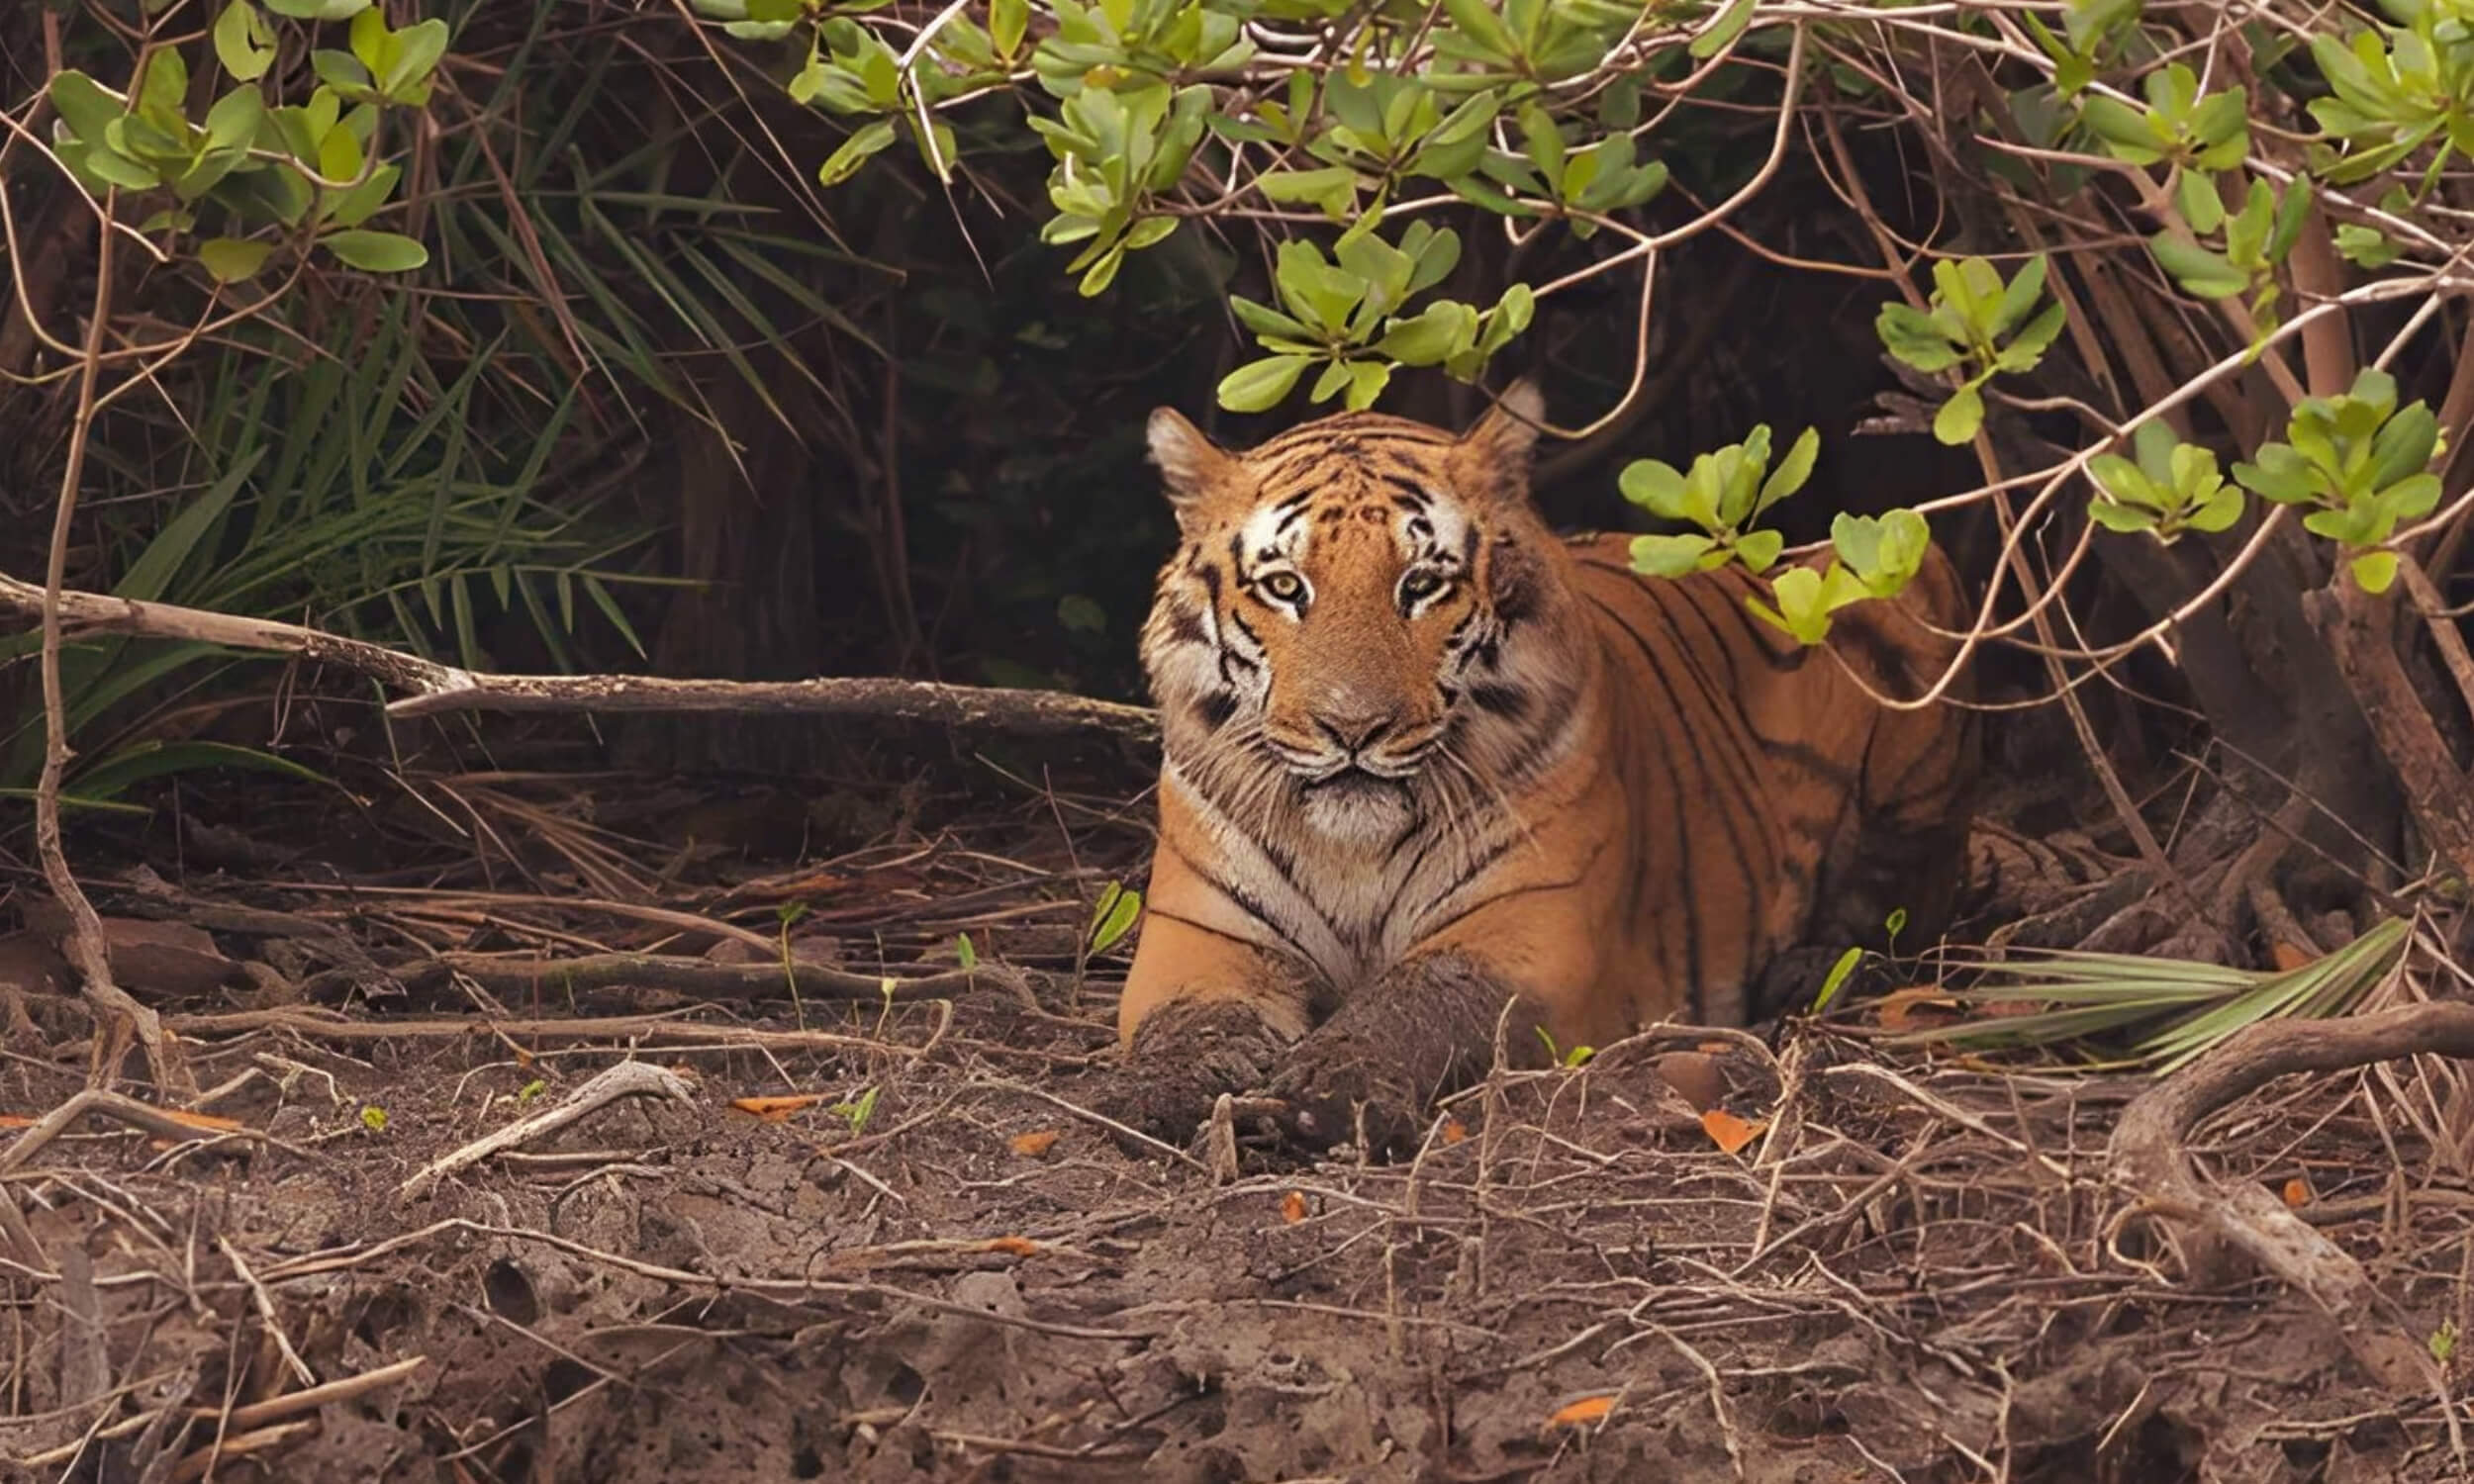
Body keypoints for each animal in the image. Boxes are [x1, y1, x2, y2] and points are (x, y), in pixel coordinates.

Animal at [1108, 381, 1979, 1150]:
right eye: (1286, 585)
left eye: (1422, 584)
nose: (1352, 727)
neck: (1351, 849)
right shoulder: (1198, 936)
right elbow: (1186, 1021)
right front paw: (1156, 1095)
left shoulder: (1532, 929)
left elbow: (1422, 999)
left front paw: (1324, 1095)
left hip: (1909, 593)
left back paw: (1806, 973)